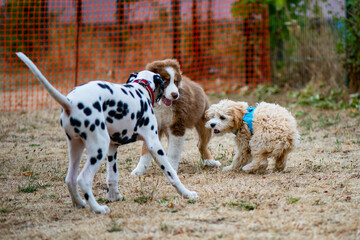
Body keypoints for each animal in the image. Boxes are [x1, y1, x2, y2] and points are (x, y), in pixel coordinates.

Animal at [16, 52, 198, 214]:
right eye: (166, 82)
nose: (175, 95)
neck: (139, 89)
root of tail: (70, 103)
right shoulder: (154, 144)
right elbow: (171, 173)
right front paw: (187, 193)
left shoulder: (113, 147)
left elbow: (112, 176)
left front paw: (114, 196)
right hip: (98, 148)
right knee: (83, 179)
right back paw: (97, 208)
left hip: (76, 148)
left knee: (70, 178)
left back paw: (79, 203)